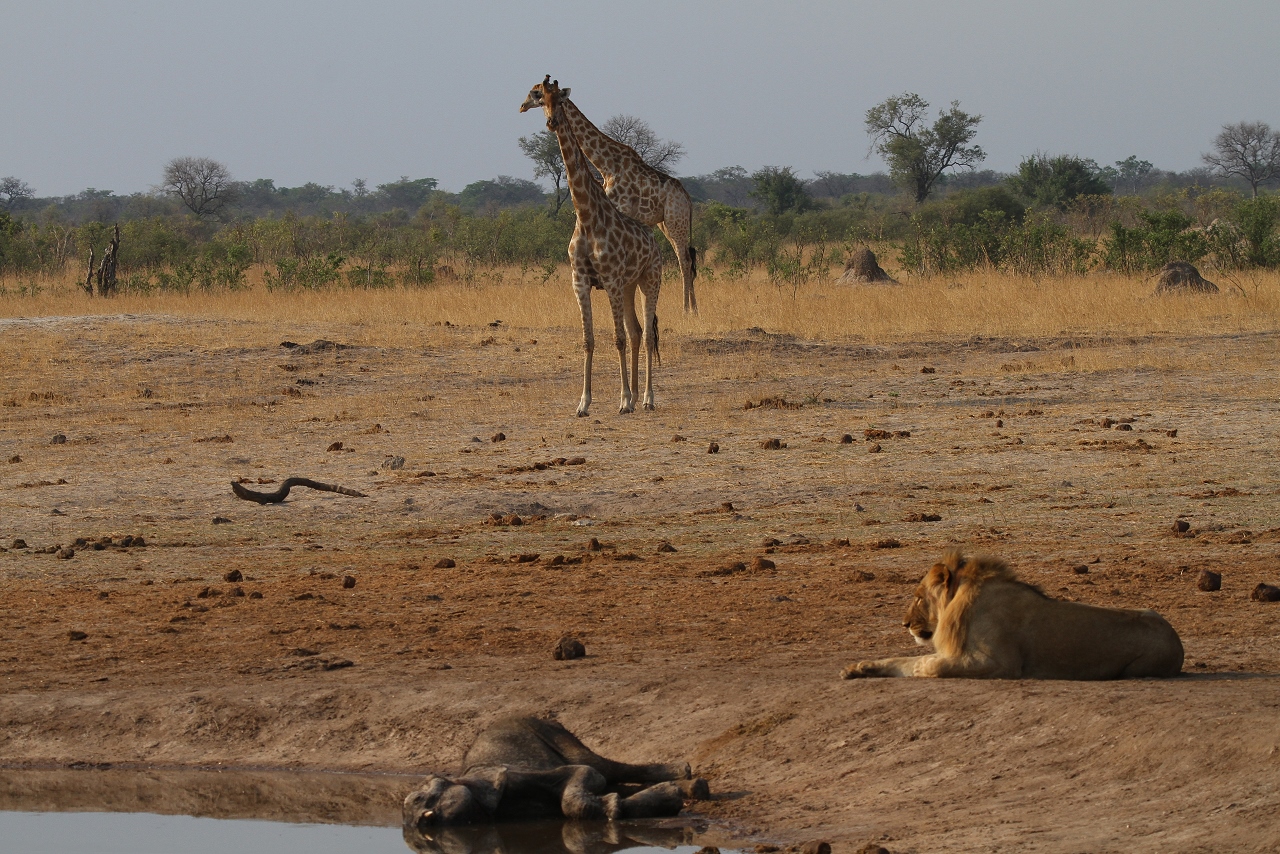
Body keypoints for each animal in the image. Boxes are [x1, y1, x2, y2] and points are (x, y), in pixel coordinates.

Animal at [404, 717, 711, 829]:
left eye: (418, 798)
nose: (417, 821)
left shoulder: (515, 775)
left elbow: (586, 775)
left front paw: (610, 806)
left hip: (554, 732)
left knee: (602, 766)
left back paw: (691, 779)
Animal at [517, 78, 660, 419]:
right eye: (539, 97)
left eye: (560, 98)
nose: (552, 122)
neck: (585, 216)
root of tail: (655, 240)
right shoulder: (580, 281)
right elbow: (588, 339)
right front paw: (583, 402)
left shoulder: (609, 280)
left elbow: (617, 339)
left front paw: (623, 400)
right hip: (628, 286)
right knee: (637, 331)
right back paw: (638, 394)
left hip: (650, 279)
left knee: (647, 335)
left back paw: (646, 398)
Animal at [522, 79, 701, 313]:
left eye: (535, 94)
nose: (522, 106)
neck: (606, 164)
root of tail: (687, 199)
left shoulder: (620, 208)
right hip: (665, 224)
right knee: (687, 259)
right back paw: (694, 308)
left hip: (675, 221)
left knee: (685, 260)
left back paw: (687, 310)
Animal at [844, 555, 1182, 681]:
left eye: (917, 597)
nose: (904, 624)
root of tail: (1178, 640)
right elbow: (901, 660)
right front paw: (858, 667)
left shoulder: (1000, 663)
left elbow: (929, 665)